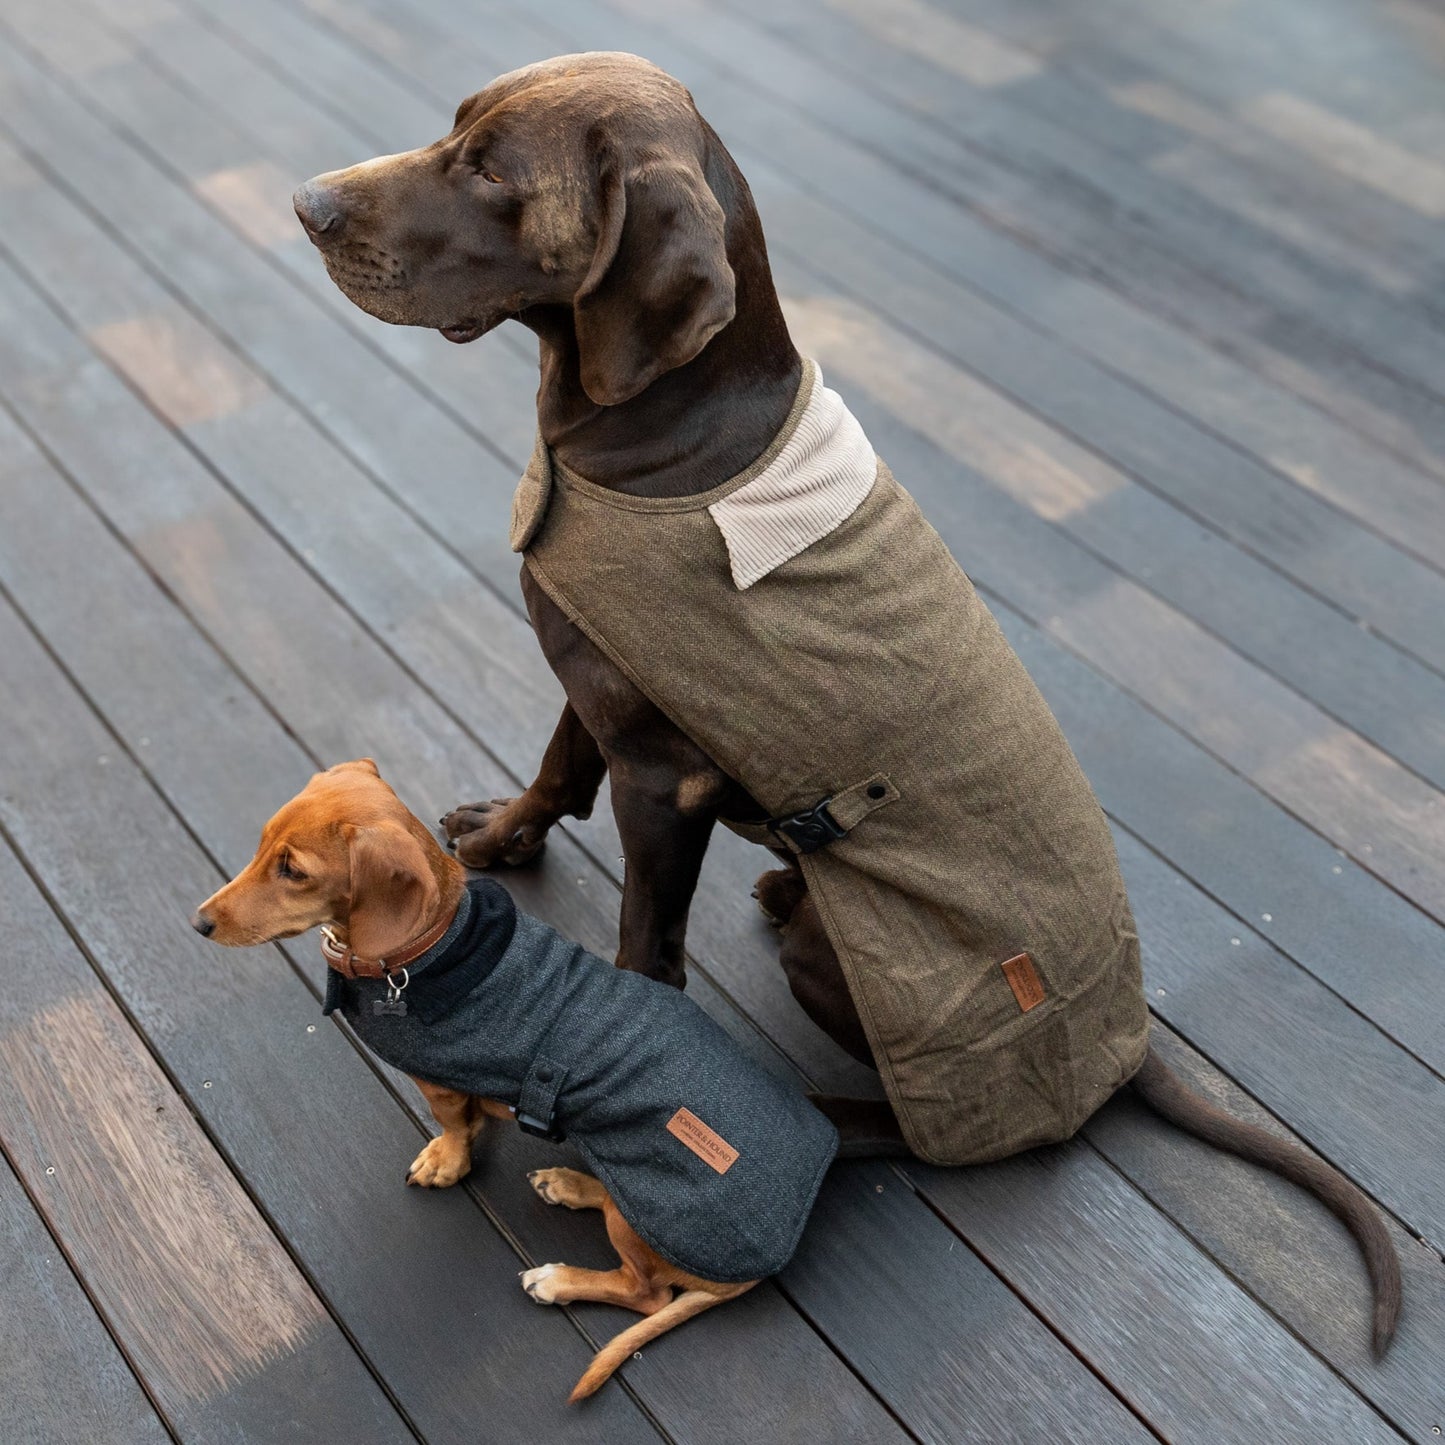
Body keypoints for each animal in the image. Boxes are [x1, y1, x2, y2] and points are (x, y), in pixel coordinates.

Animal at [197, 757, 843, 1398]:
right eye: (261, 845)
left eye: (293, 871)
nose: (199, 924)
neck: (435, 938)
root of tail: (771, 1260)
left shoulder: (441, 1085)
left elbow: (454, 1127)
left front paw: (445, 1162)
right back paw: (569, 1184)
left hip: (644, 1220)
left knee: (647, 1292)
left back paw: (558, 1280)